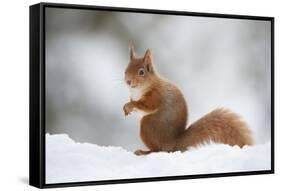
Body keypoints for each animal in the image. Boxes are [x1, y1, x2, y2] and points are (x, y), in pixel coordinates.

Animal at [121, 46, 253, 155]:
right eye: (125, 70)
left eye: (141, 72)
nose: (128, 81)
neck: (139, 89)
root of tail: (172, 144)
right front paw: (126, 108)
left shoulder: (156, 96)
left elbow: (147, 105)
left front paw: (131, 105)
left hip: (148, 125)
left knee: (158, 150)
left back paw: (145, 152)